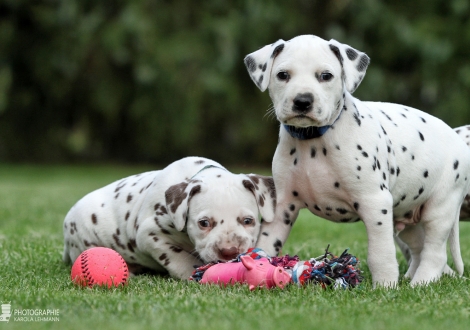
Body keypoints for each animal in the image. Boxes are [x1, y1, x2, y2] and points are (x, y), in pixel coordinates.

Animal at [244, 34, 470, 286]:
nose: (302, 101)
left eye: (326, 76)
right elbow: (267, 243)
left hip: (440, 208)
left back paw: (420, 283)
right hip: (407, 216)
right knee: (419, 248)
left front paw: (385, 286)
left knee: (435, 253)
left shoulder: (375, 203)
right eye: (283, 75)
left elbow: (381, 253)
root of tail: (457, 138)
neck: (313, 141)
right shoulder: (283, 206)